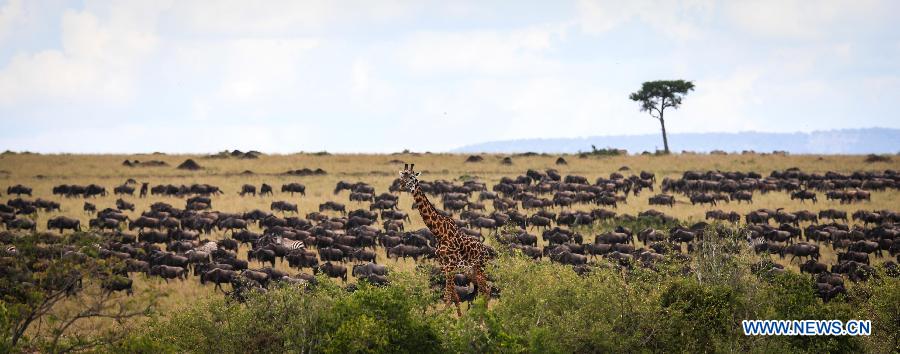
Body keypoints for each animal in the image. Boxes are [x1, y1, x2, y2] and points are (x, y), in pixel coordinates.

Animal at [400, 163, 496, 316]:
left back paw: (484, 317)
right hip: (470, 272)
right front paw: (459, 317)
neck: (439, 232)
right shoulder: (444, 266)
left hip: (479, 268)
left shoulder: (450, 266)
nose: (402, 185)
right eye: (402, 176)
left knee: (486, 289)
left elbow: (447, 296)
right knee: (484, 289)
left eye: (412, 177)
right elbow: (454, 295)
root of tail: (486, 252)